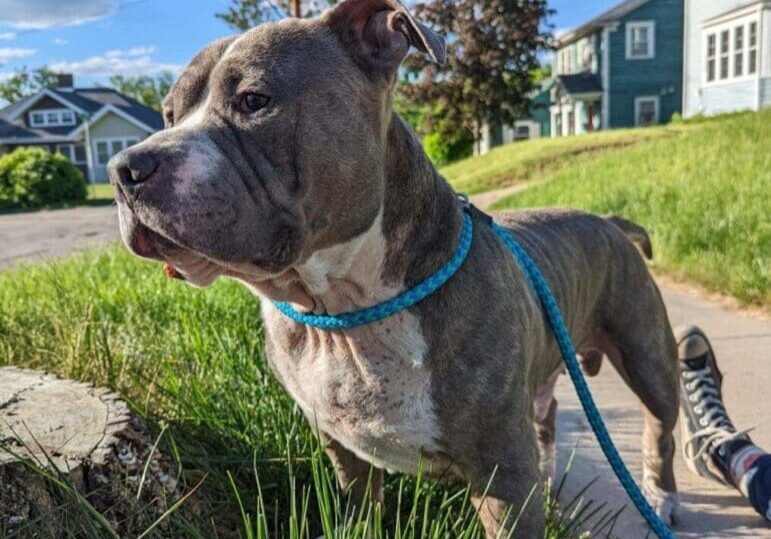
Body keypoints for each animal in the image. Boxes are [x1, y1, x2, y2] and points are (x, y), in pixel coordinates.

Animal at [110, 0, 680, 532]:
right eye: (168, 115)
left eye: (254, 100)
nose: (125, 168)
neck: (343, 309)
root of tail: (609, 221)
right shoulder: (343, 450)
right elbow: (360, 511)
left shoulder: (502, 476)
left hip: (649, 358)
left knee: (662, 429)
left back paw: (662, 498)